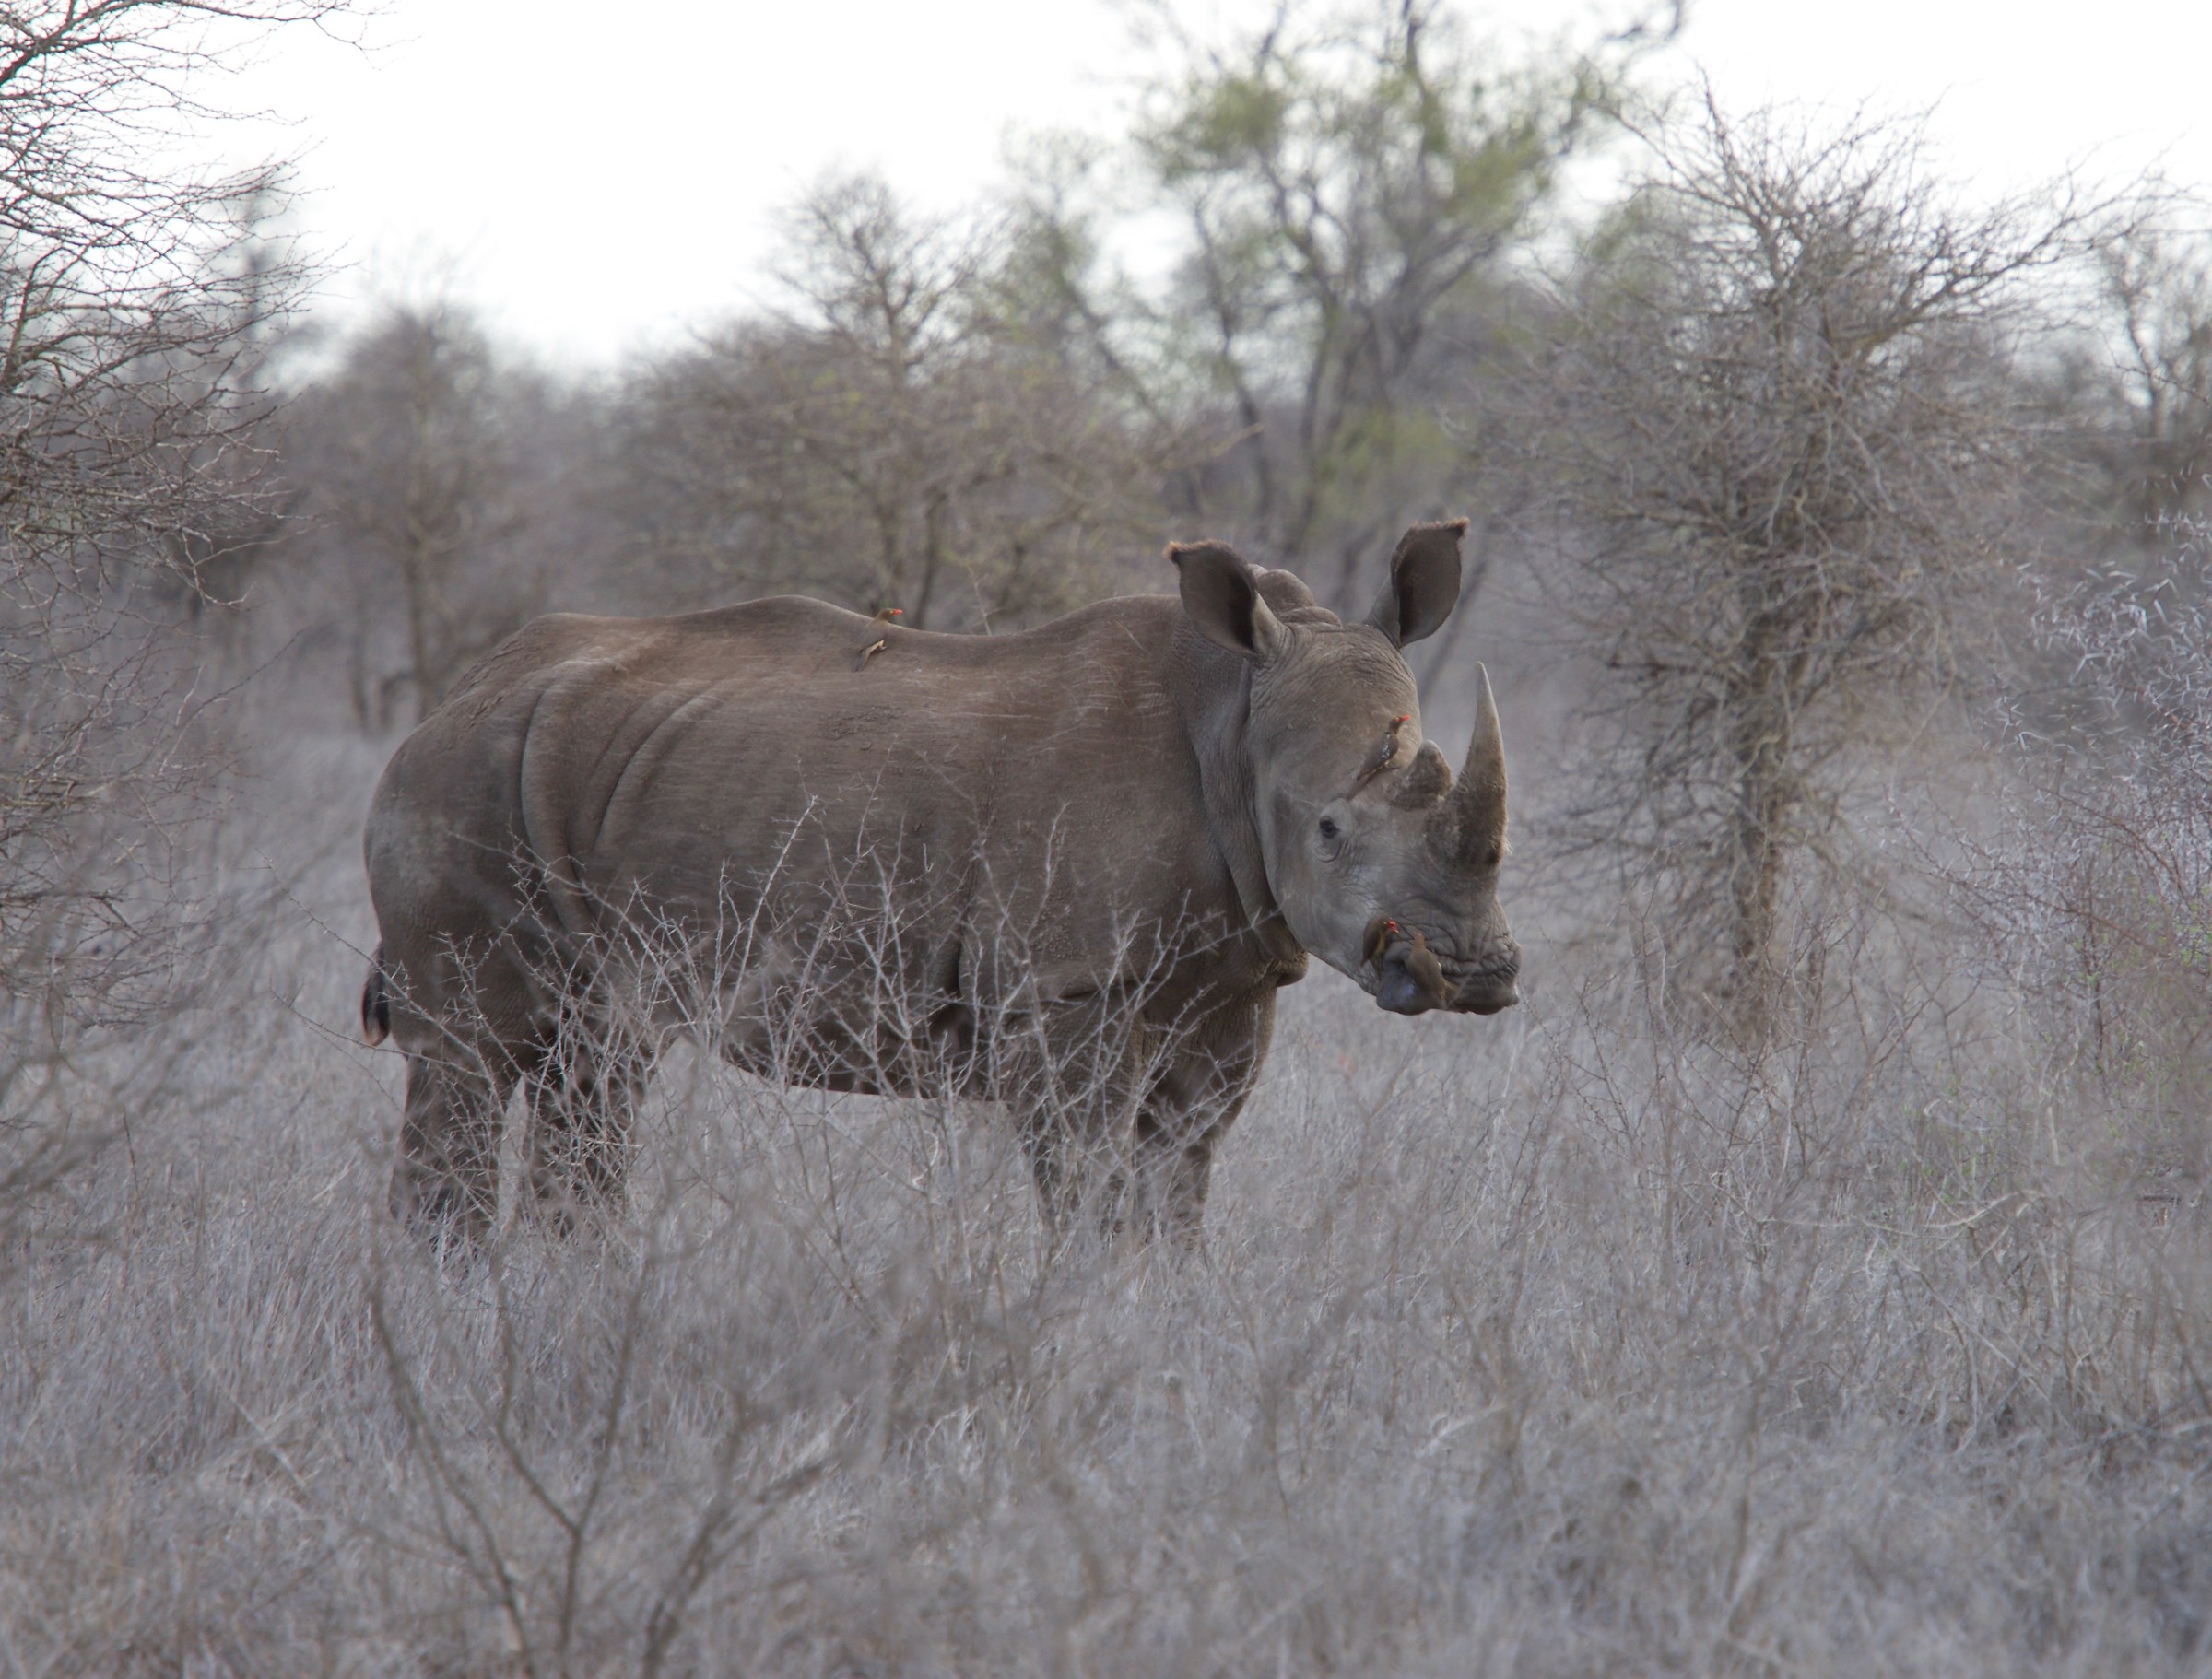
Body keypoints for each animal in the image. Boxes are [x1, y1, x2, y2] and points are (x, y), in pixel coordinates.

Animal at [360, 521, 1520, 1242]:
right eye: (1327, 827)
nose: (1476, 973)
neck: (1234, 719)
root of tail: (459, 695)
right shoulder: (1063, 993)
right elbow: (1094, 1198)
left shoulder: (1225, 986)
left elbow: (1176, 1189)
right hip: (459, 782)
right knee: (469, 1056)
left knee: (596, 1066)